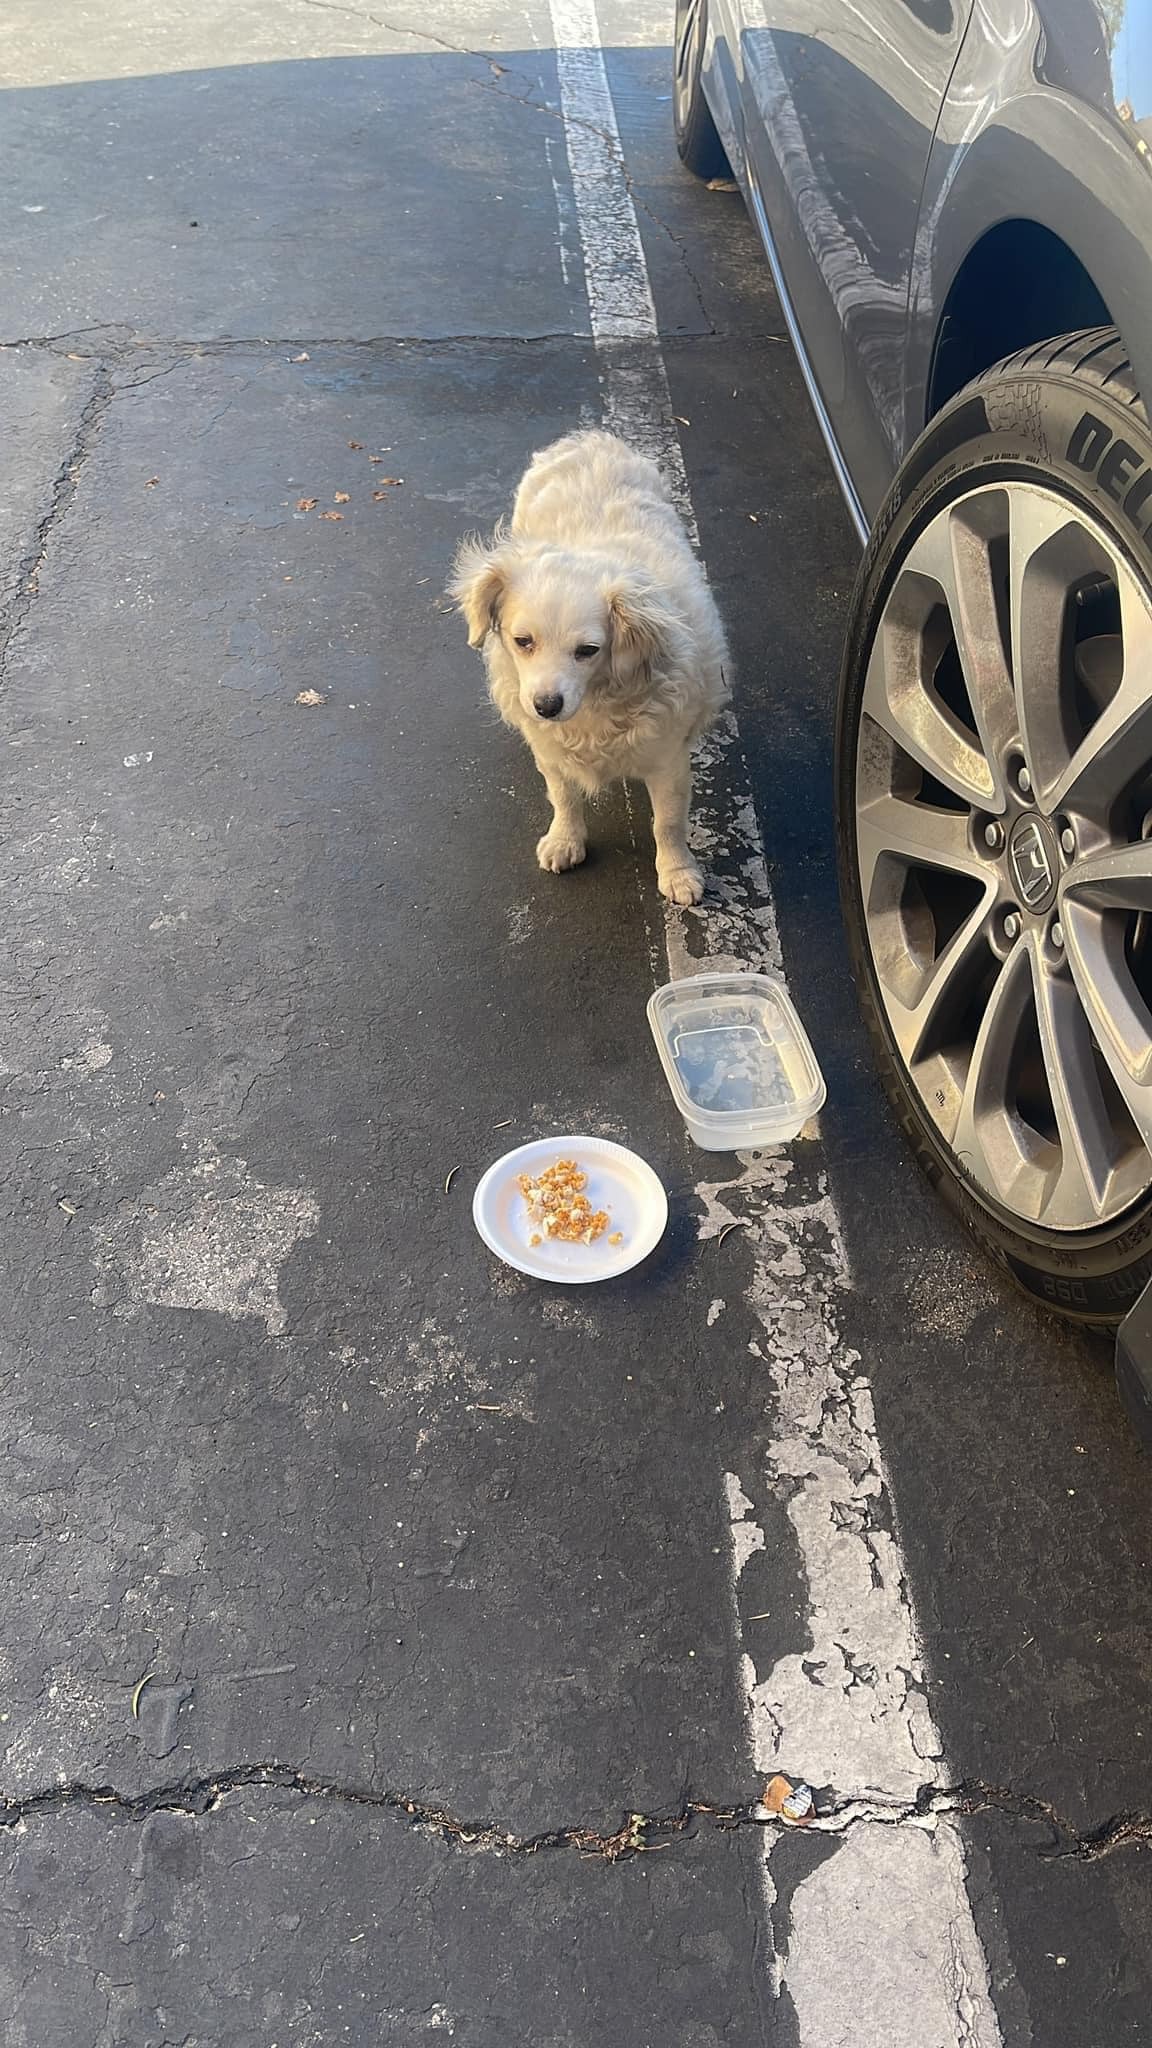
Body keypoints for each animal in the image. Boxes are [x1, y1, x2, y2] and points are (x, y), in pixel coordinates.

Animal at [450, 428, 725, 901]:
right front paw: (566, 840)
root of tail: (591, 438)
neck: (596, 704)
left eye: (588, 650)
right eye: (523, 642)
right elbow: (563, 797)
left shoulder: (668, 761)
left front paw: (677, 872)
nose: (546, 706)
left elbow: (668, 823)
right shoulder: (550, 751)